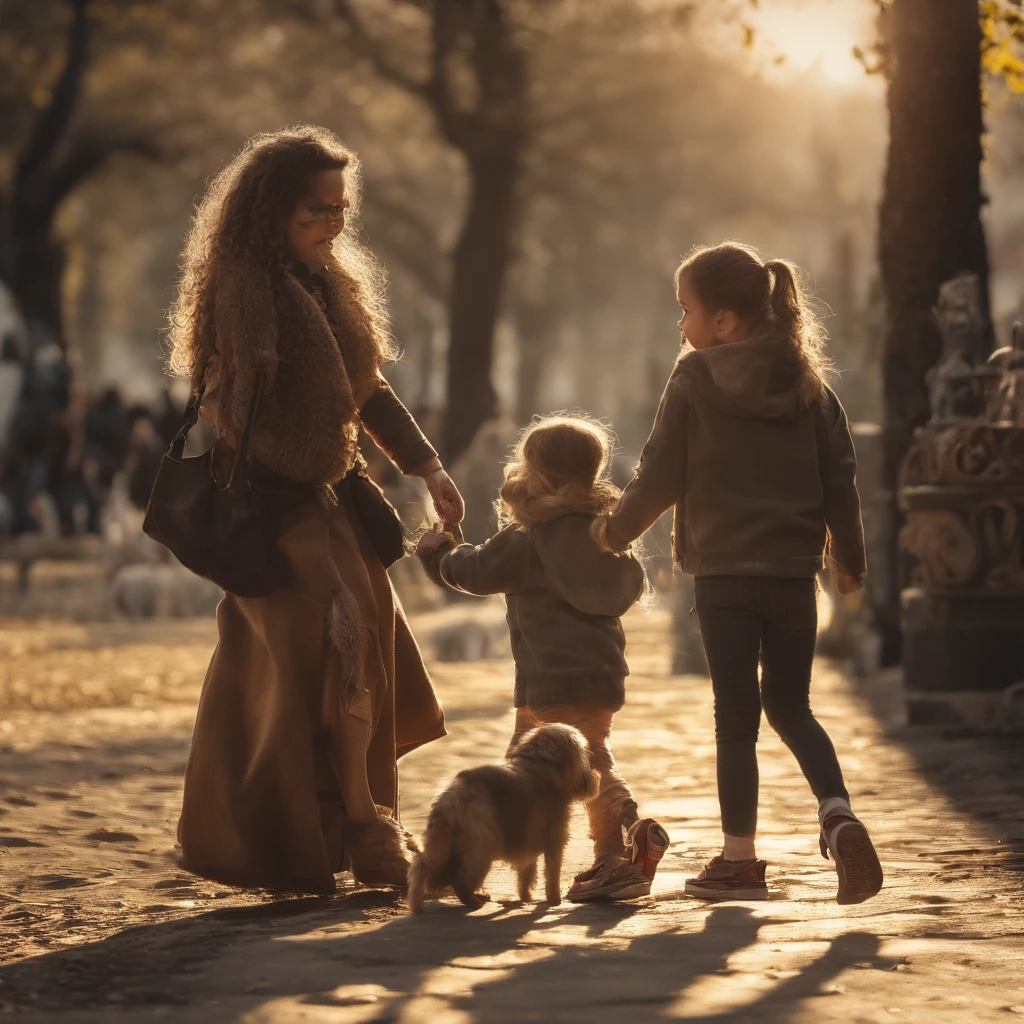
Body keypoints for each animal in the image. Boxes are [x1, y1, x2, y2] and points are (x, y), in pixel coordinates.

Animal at [405, 720, 598, 913]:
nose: (594, 775)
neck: (541, 764)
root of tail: (450, 797)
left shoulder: (527, 839)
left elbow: (526, 872)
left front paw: (525, 897)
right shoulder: (554, 838)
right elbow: (552, 872)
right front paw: (554, 899)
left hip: (443, 843)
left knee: (421, 867)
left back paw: (416, 905)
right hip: (481, 846)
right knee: (460, 880)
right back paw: (473, 901)